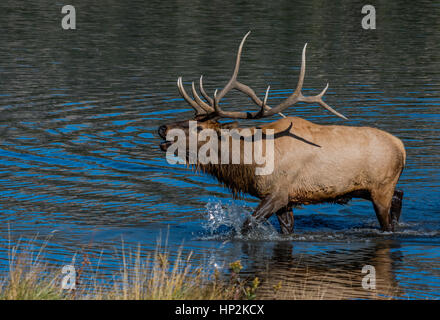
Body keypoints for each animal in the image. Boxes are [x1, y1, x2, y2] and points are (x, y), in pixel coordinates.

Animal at [159, 32, 406, 235]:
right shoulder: (286, 202)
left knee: (388, 216)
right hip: (365, 188)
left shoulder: (278, 194)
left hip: (380, 188)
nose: (162, 128)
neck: (249, 163)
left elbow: (246, 225)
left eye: (199, 128)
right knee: (399, 196)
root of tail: (402, 148)